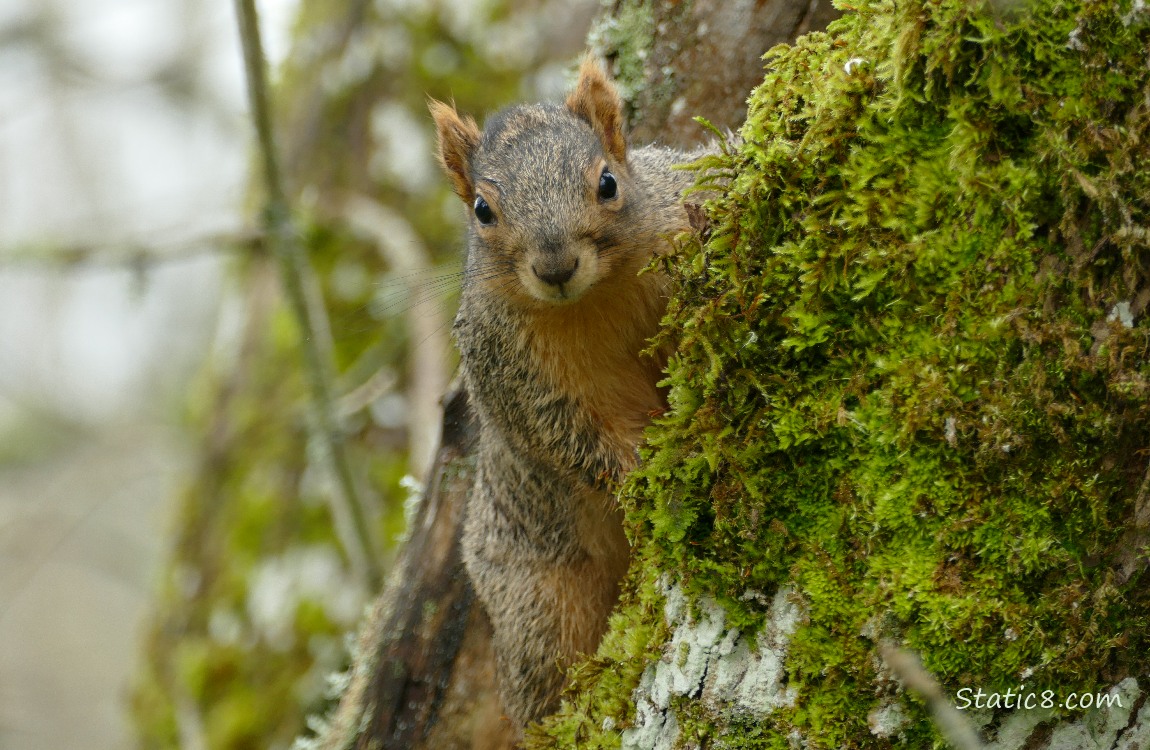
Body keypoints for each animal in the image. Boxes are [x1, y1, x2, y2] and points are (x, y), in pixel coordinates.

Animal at [430, 58, 703, 736]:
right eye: (482, 210)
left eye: (607, 183)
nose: (555, 267)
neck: (591, 301)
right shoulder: (507, 372)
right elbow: (565, 436)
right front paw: (637, 472)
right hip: (537, 598)